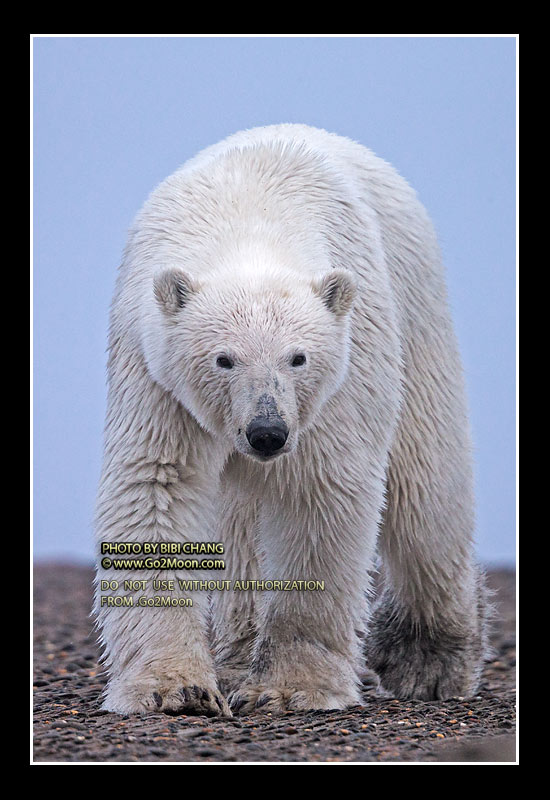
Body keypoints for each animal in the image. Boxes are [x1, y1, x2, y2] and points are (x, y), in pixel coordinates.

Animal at [94, 123, 491, 716]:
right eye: (224, 358)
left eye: (297, 357)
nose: (267, 433)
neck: (247, 220)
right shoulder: (154, 370)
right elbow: (157, 484)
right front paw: (174, 688)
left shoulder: (338, 375)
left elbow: (318, 494)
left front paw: (289, 687)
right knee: (239, 526)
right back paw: (237, 656)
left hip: (418, 314)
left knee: (425, 487)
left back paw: (427, 661)